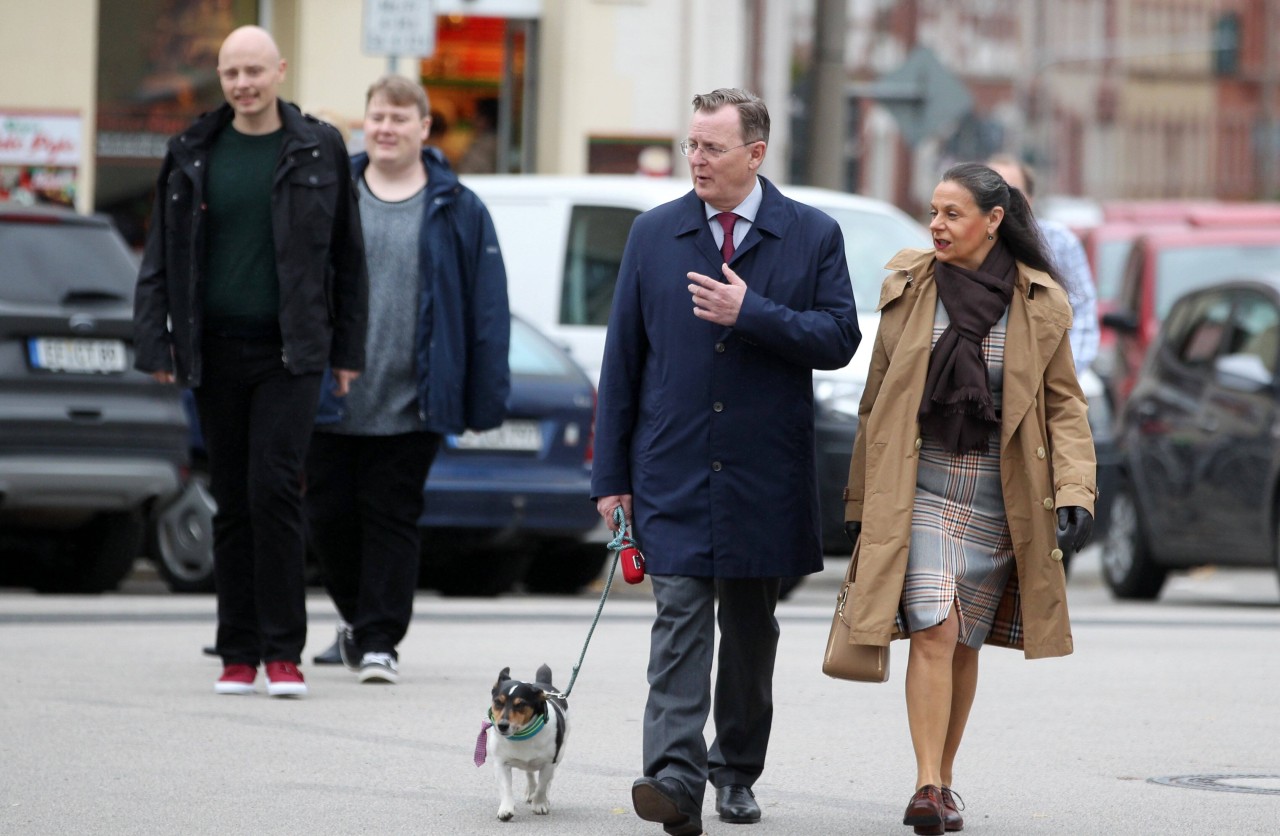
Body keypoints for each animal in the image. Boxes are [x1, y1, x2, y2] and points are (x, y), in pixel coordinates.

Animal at [481, 665, 570, 819]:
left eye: (520, 704)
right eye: (498, 702)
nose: (502, 725)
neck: (521, 735)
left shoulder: (548, 763)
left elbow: (542, 786)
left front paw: (539, 804)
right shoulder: (500, 763)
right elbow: (506, 787)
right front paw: (506, 809)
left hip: (559, 755)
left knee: (548, 780)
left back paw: (543, 797)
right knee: (529, 773)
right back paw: (530, 791)